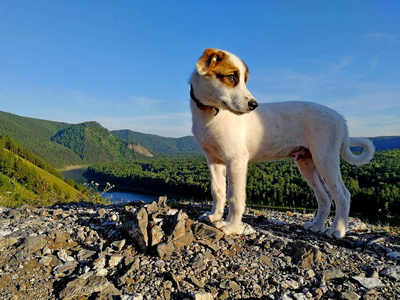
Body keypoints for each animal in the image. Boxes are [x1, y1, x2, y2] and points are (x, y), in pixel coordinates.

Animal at [189, 48, 374, 238]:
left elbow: (235, 196)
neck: (212, 112)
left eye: (244, 80)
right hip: (307, 162)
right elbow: (217, 191)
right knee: (325, 195)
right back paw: (316, 225)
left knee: (343, 195)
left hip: (325, 158)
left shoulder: (236, 159)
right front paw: (214, 216)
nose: (253, 105)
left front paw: (231, 226)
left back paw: (337, 230)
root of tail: (340, 118)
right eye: (231, 77)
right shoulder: (214, 160)